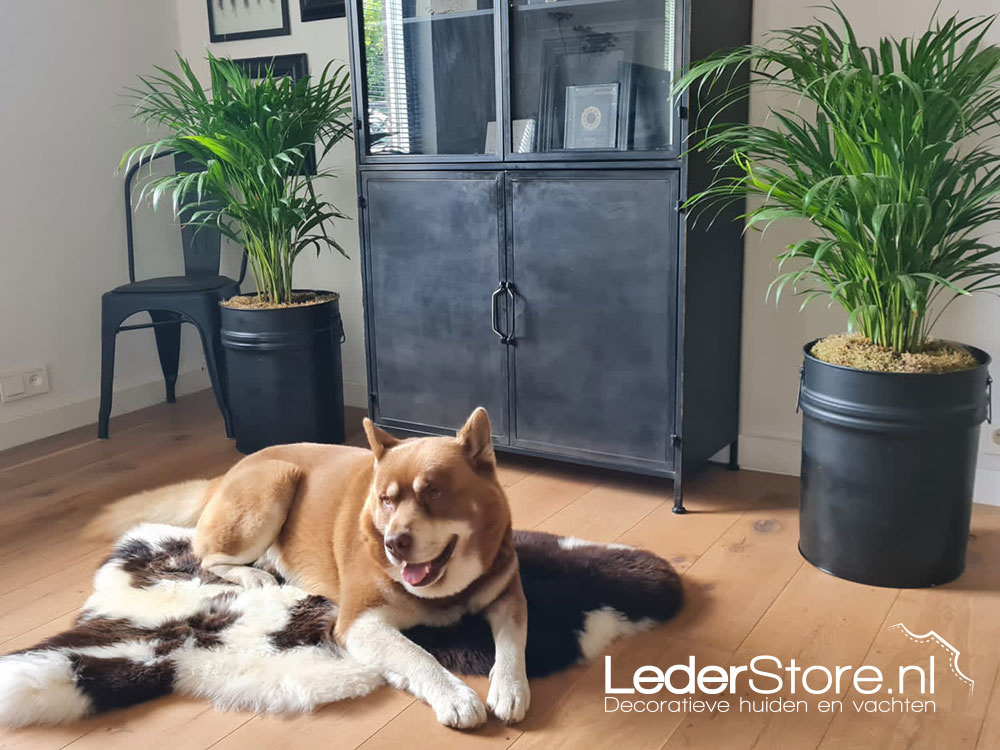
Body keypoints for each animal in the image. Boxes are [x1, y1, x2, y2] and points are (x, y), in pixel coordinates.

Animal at [86, 408, 532, 732]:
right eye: (386, 500)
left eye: (434, 493)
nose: (393, 543)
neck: (445, 591)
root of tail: (226, 474)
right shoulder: (360, 622)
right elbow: (417, 655)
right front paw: (455, 696)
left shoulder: (509, 597)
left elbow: (513, 643)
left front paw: (510, 688)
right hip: (275, 481)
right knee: (207, 554)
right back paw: (256, 575)